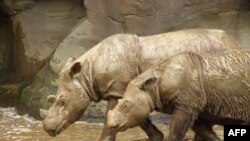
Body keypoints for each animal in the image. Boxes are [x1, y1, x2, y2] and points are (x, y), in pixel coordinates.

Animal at [40, 28, 239, 141]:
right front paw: (157, 137)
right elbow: (139, 117)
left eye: (62, 102)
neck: (86, 74)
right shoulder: (131, 91)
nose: (48, 129)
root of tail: (233, 41)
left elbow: (111, 119)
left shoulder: (118, 90)